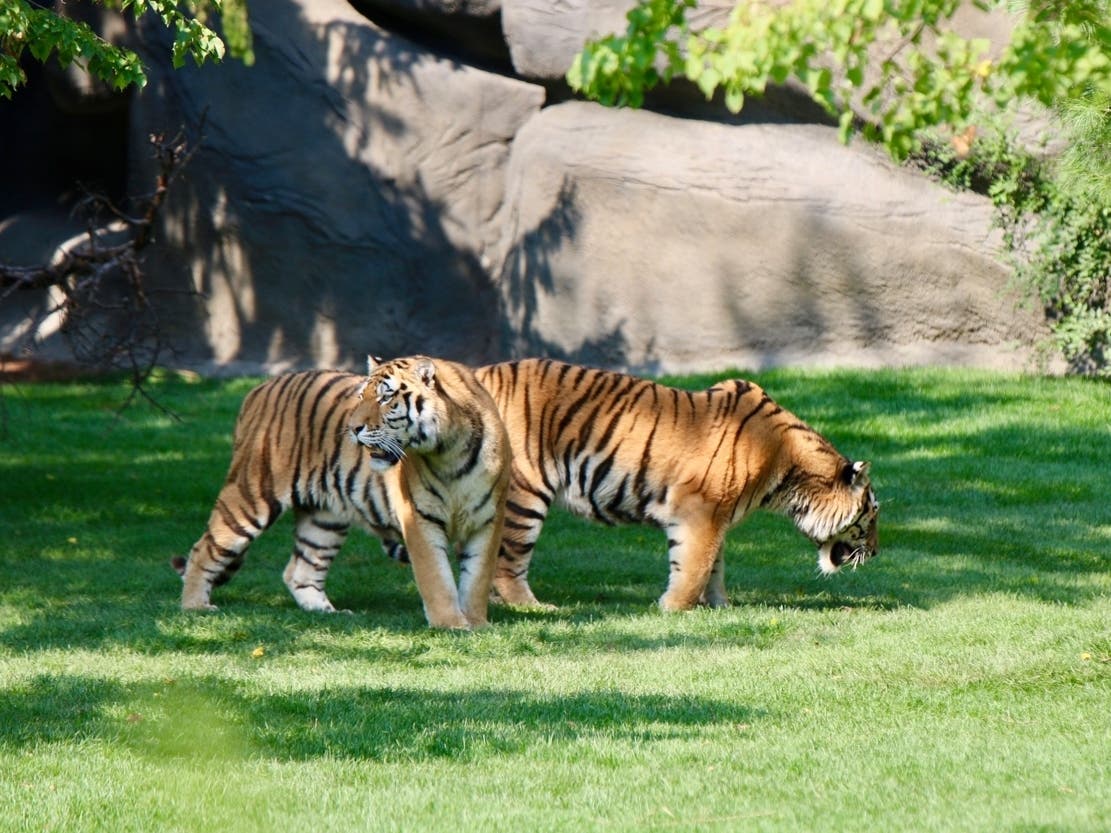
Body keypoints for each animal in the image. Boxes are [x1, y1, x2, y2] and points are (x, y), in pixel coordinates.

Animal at [172, 355, 510, 629]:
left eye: (386, 397)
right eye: (362, 396)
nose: (353, 428)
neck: (449, 450)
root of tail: (257, 390)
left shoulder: (487, 520)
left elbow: (477, 578)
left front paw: (477, 623)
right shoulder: (419, 519)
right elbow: (437, 578)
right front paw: (451, 625)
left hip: (325, 517)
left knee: (300, 570)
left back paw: (329, 613)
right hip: (251, 496)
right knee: (204, 548)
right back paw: (195, 607)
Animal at [457, 358, 878, 611]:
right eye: (871, 516)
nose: (875, 553)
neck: (786, 466)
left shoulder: (717, 516)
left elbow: (714, 566)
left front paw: (722, 606)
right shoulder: (700, 511)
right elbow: (694, 565)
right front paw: (674, 607)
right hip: (524, 493)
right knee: (507, 562)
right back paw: (533, 606)